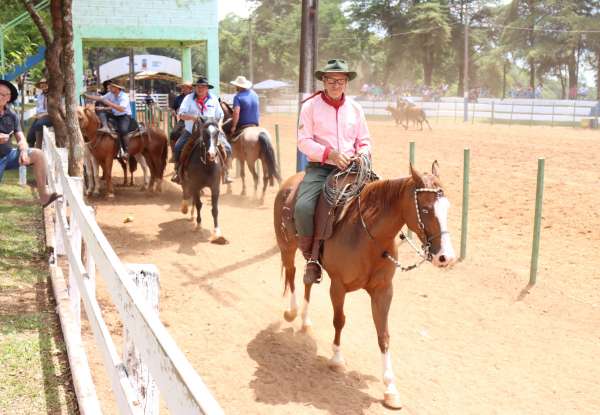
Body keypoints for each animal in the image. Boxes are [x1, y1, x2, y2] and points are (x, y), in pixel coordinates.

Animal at [274, 162, 458, 410]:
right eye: (427, 209)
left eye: (446, 208)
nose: (445, 257)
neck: (368, 235)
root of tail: (290, 182)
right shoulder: (338, 286)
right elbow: (339, 320)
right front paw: (337, 359)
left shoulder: (383, 291)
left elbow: (384, 335)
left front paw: (390, 389)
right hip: (287, 247)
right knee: (292, 274)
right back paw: (292, 313)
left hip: (310, 260)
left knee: (307, 280)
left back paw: (305, 321)